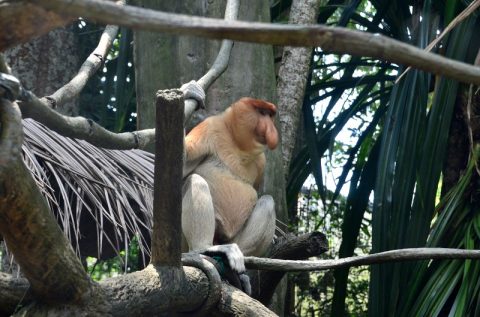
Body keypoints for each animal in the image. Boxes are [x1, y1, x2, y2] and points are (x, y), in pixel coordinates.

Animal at [180, 95, 278, 292]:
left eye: (270, 115)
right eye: (262, 112)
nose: (272, 129)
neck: (238, 144)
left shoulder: (262, 162)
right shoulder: (209, 127)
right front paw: (189, 93)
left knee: (268, 202)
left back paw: (238, 270)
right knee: (195, 180)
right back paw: (204, 249)